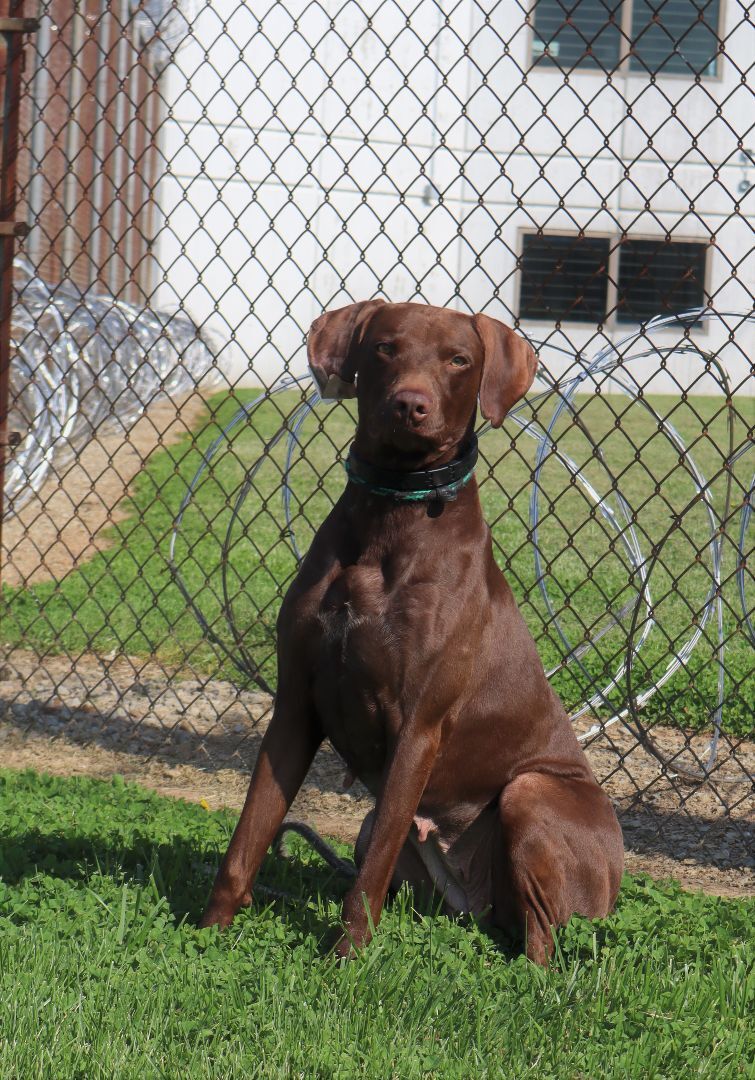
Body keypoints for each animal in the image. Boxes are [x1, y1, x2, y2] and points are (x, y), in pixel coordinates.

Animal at [197, 298, 622, 963]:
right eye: (385, 348)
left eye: (459, 360)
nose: (409, 405)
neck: (391, 514)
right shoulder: (294, 706)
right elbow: (247, 839)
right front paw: (207, 934)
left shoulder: (419, 727)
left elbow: (367, 877)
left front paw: (344, 959)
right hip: (393, 838)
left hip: (530, 794)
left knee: (545, 943)